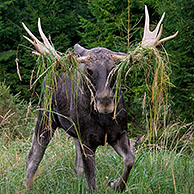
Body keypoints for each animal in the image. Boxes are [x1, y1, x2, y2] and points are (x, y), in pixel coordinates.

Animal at [22, 5, 177, 192]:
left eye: (115, 68)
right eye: (89, 70)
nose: (105, 102)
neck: (103, 120)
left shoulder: (119, 133)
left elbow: (130, 160)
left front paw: (116, 184)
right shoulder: (87, 142)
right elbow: (92, 183)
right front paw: (111, 184)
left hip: (74, 133)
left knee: (76, 166)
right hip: (46, 118)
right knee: (33, 156)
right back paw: (27, 186)